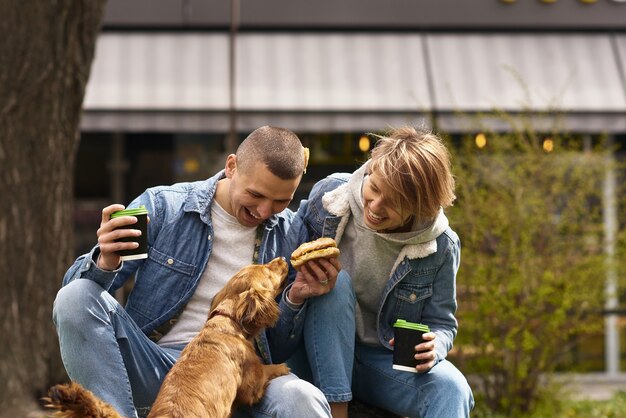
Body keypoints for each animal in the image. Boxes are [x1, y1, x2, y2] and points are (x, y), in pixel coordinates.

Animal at [45, 256, 292, 416]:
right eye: (267, 270)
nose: (282, 257)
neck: (225, 323)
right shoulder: (251, 385)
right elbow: (266, 371)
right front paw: (281, 366)